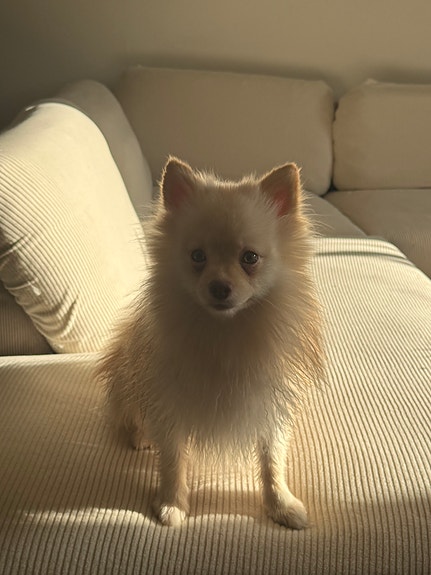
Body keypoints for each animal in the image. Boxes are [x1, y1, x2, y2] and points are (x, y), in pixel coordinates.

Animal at [97, 157, 325, 528]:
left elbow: (272, 462)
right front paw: (172, 503)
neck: (225, 332)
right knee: (132, 412)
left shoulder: (269, 407)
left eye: (249, 258)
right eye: (197, 256)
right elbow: (173, 459)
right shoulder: (168, 403)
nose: (219, 287)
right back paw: (141, 435)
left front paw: (281, 505)